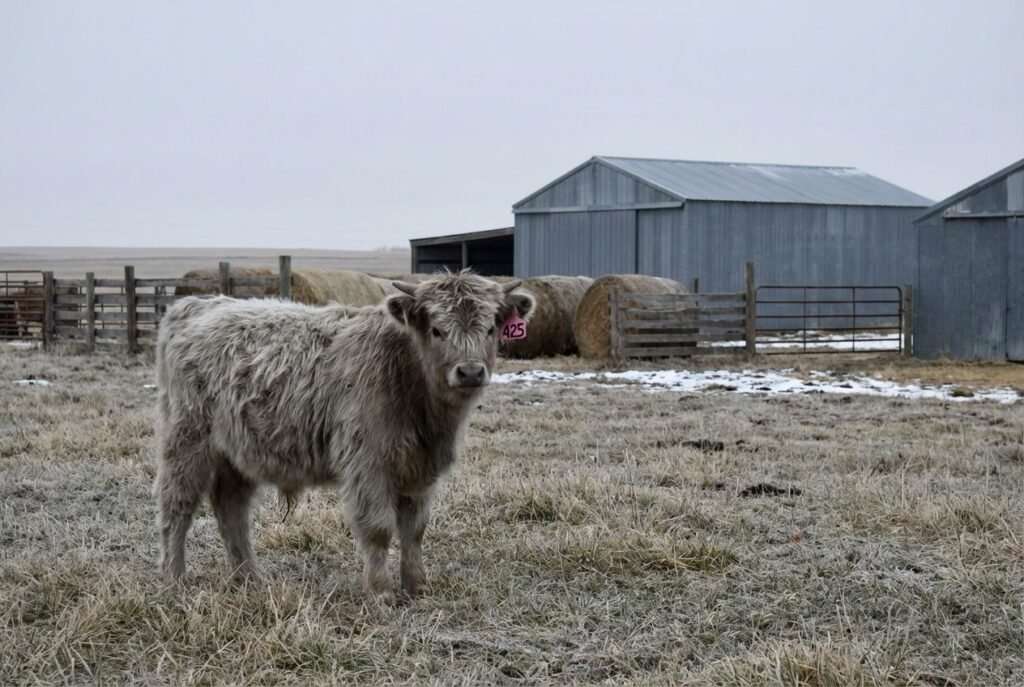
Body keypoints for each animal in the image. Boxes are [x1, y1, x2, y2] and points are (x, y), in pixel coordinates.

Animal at [153, 271, 533, 602]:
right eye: (437, 330)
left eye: (490, 328)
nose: (470, 371)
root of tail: (199, 305)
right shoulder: (367, 463)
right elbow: (379, 528)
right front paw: (380, 592)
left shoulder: (419, 468)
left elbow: (415, 529)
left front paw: (417, 586)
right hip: (187, 439)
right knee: (177, 506)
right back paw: (174, 579)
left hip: (238, 452)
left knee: (231, 510)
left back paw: (250, 578)